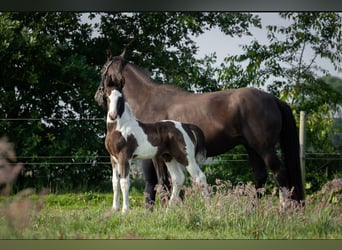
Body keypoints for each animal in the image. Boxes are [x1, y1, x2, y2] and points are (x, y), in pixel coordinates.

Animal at [95, 49, 306, 206]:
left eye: (102, 71)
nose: (98, 96)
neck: (149, 98)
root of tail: (273, 99)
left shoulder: (156, 155)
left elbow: (161, 182)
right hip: (251, 148)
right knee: (260, 177)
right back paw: (254, 210)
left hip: (264, 148)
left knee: (279, 174)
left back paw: (284, 209)